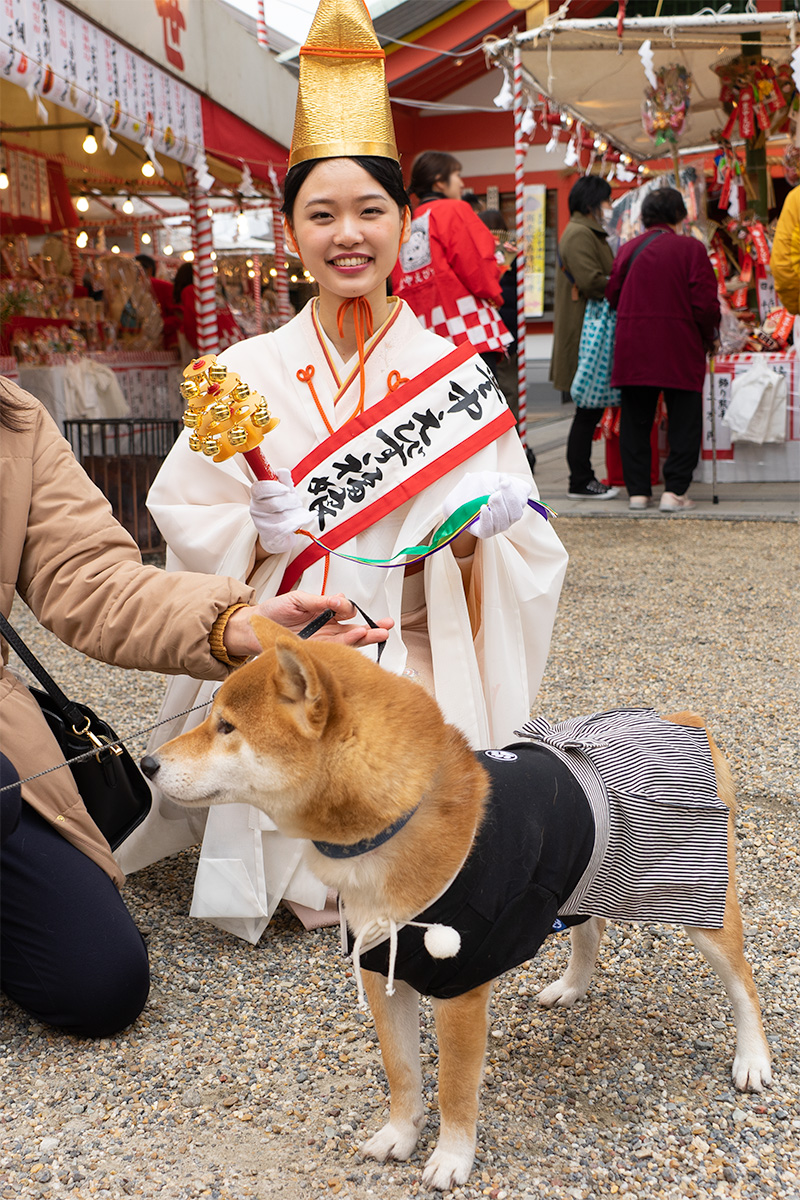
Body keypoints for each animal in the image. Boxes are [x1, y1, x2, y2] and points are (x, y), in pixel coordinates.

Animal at [142, 619, 767, 1190]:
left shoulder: (460, 988)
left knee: (743, 983)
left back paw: (753, 1059)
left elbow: (454, 1087)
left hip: (697, 898)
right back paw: (572, 986)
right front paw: (400, 1135)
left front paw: (451, 1157)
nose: (146, 764)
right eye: (212, 716)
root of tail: (679, 720)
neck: (397, 823)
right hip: (585, 879)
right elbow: (401, 1072)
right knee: (589, 930)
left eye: (226, 726)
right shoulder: (382, 968)